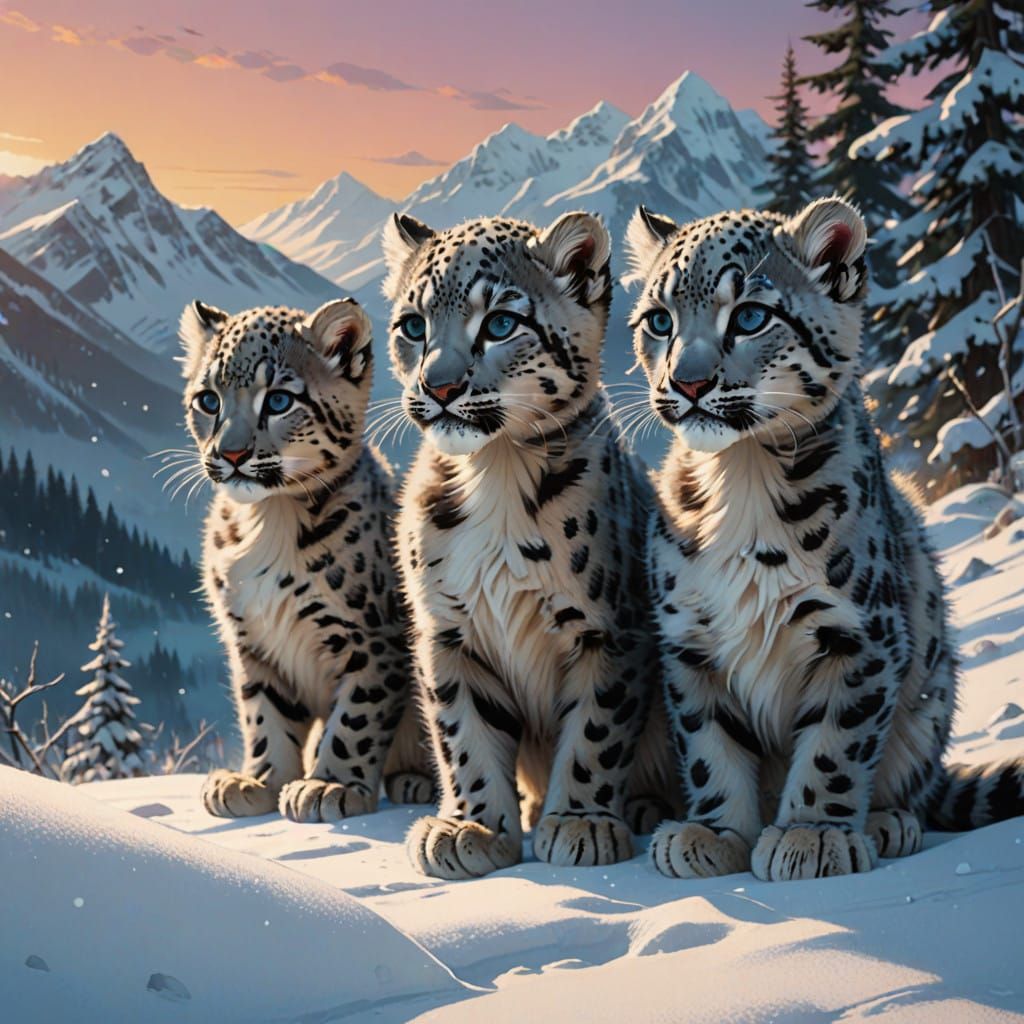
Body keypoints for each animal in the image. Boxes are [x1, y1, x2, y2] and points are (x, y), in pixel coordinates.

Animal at [624, 195, 1024, 882]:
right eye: (658, 319)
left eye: (751, 315)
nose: (688, 383)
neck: (742, 475)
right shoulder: (689, 642)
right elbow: (709, 745)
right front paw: (714, 835)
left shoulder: (859, 635)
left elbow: (835, 746)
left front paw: (810, 836)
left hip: (930, 692)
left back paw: (888, 822)